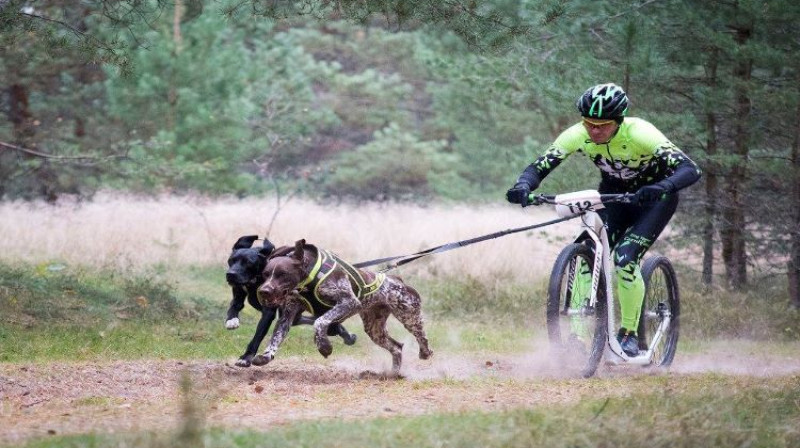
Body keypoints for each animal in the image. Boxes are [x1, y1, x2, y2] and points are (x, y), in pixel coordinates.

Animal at [222, 236, 354, 366]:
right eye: (230, 260)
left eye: (248, 262)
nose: (230, 274)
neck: (255, 280)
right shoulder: (239, 292)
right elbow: (234, 306)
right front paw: (231, 320)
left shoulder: (268, 312)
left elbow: (258, 335)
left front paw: (246, 357)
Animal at [255, 240, 432, 372]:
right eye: (265, 274)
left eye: (283, 274)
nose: (264, 291)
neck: (308, 281)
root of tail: (397, 280)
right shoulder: (288, 316)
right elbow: (276, 336)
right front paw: (266, 355)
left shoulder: (349, 302)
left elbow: (320, 322)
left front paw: (324, 346)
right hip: (374, 329)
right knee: (396, 347)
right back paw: (393, 374)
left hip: (409, 316)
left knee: (422, 336)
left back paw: (425, 352)